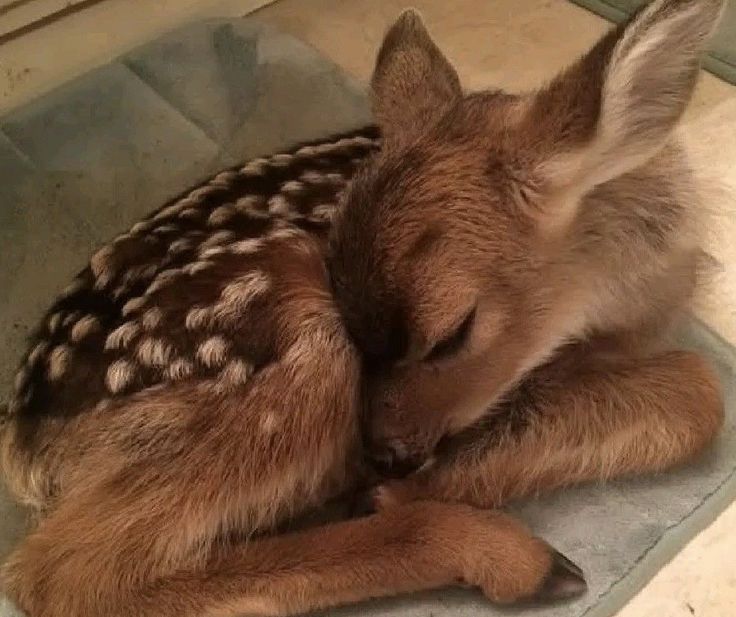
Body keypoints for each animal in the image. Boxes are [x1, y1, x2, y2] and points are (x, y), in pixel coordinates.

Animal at [0, 1, 726, 616]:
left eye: (450, 337)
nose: (383, 453)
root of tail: (26, 441)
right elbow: (702, 389)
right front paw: (395, 492)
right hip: (288, 346)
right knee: (65, 578)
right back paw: (510, 556)